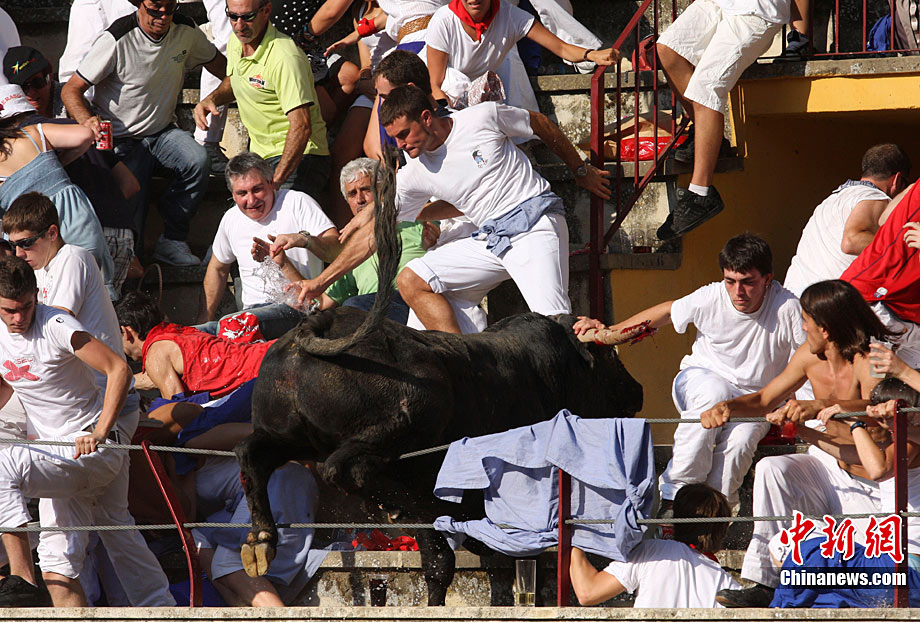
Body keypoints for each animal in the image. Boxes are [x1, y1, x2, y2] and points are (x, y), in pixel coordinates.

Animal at [235, 151, 643, 605]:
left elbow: (439, 565)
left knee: (253, 454)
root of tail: (319, 322)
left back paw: (261, 541)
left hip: (292, 434)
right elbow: (482, 556)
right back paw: (392, 507)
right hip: (400, 426)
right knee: (344, 469)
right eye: (608, 357)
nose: (637, 391)